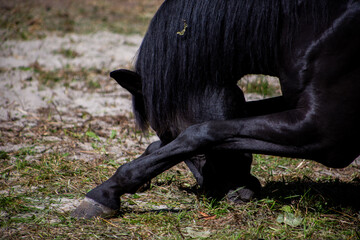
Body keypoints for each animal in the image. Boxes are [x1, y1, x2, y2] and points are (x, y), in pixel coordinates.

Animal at [72, 0, 360, 219]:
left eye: (168, 131)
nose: (242, 191)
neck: (308, 27)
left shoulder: (324, 131)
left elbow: (201, 133)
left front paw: (106, 193)